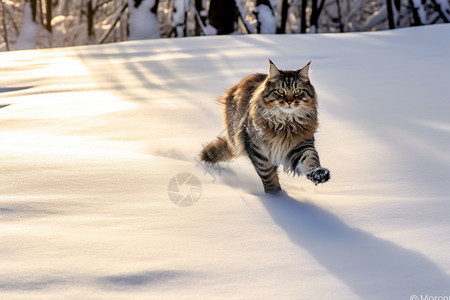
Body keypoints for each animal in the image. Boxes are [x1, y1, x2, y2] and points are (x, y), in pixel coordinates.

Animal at [200, 60, 330, 195]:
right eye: (280, 91)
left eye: (297, 91)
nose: (289, 102)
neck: (285, 123)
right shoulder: (257, 149)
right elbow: (267, 174)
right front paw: (275, 196)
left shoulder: (301, 146)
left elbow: (311, 159)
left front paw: (319, 174)